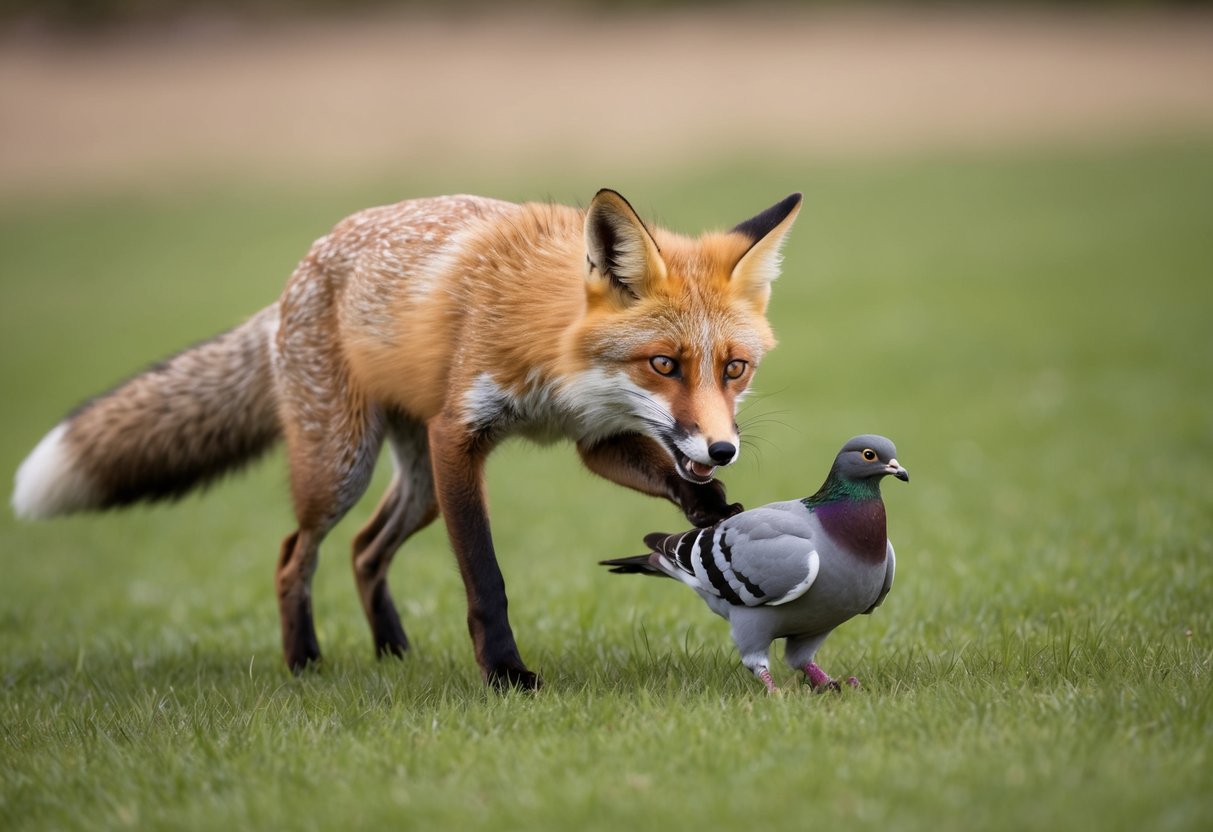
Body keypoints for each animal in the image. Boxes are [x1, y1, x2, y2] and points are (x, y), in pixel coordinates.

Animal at [12, 188, 802, 689]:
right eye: (664, 365)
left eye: (733, 369)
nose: (723, 451)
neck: (553, 354)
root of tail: (299, 274)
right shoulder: (460, 437)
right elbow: (485, 577)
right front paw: (505, 674)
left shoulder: (596, 437)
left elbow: (670, 480)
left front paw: (712, 512)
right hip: (342, 468)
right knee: (294, 554)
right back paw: (304, 661)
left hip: (417, 487)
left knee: (365, 550)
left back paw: (393, 652)